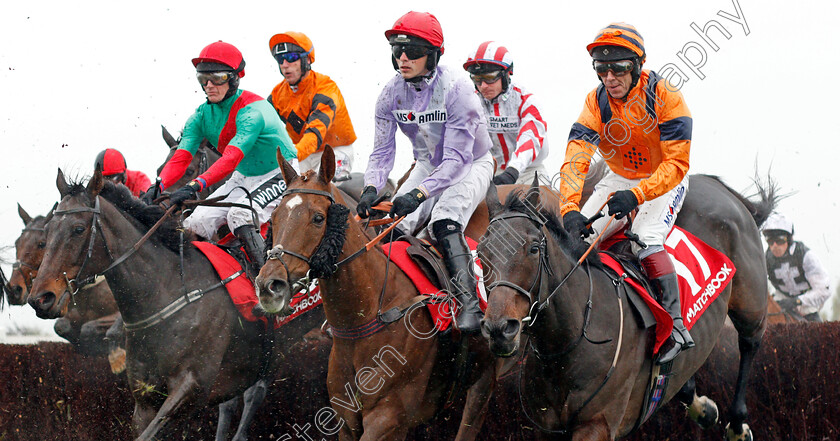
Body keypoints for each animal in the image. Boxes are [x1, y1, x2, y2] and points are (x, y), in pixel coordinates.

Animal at [28, 168, 324, 440]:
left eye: (78, 229)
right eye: (46, 234)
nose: (40, 298)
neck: (169, 290)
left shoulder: (190, 388)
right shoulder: (146, 399)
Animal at [480, 175, 776, 440]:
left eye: (533, 249)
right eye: (481, 253)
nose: (499, 329)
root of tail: (716, 184)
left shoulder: (597, 425)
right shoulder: (546, 428)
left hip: (751, 303)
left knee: (750, 343)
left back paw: (738, 426)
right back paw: (703, 408)